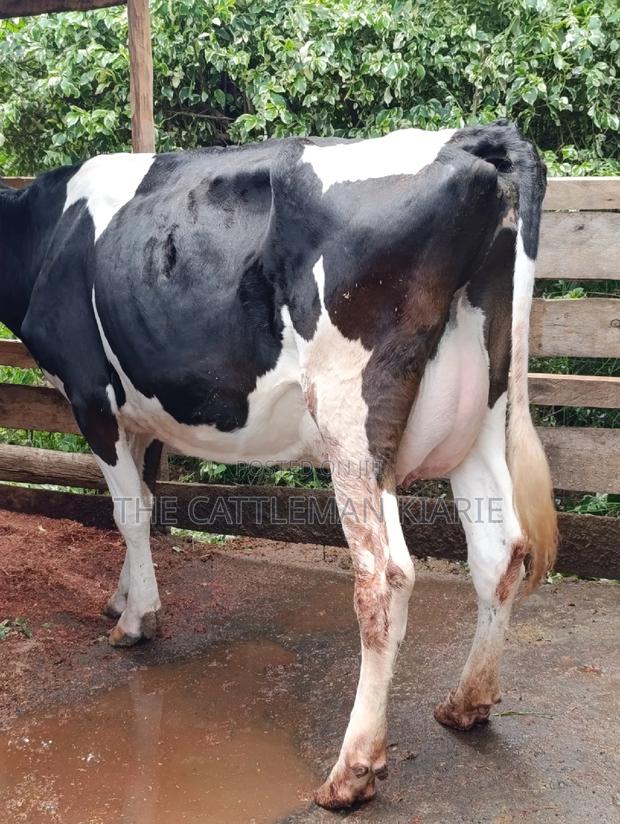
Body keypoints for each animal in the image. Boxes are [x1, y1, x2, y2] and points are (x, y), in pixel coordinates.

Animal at [0, 120, 557, 809]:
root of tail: (468, 139)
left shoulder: (90, 395)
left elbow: (127, 513)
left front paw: (135, 621)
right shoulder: (141, 410)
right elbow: (147, 503)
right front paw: (122, 598)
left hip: (352, 418)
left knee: (385, 576)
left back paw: (352, 771)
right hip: (481, 408)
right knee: (500, 552)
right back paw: (466, 703)